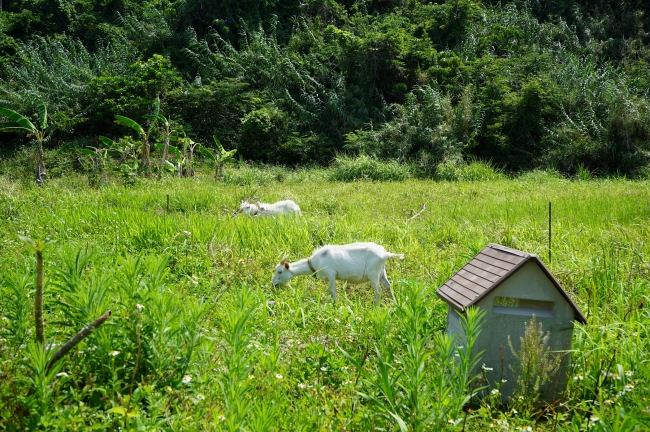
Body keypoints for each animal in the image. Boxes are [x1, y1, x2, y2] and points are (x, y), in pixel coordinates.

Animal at [270, 241, 402, 306]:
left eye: (280, 271)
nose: (273, 284)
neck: (315, 261)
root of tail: (386, 254)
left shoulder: (331, 274)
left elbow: (332, 291)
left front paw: (335, 304)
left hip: (373, 274)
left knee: (379, 290)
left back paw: (374, 305)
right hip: (382, 271)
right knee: (388, 286)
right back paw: (394, 302)